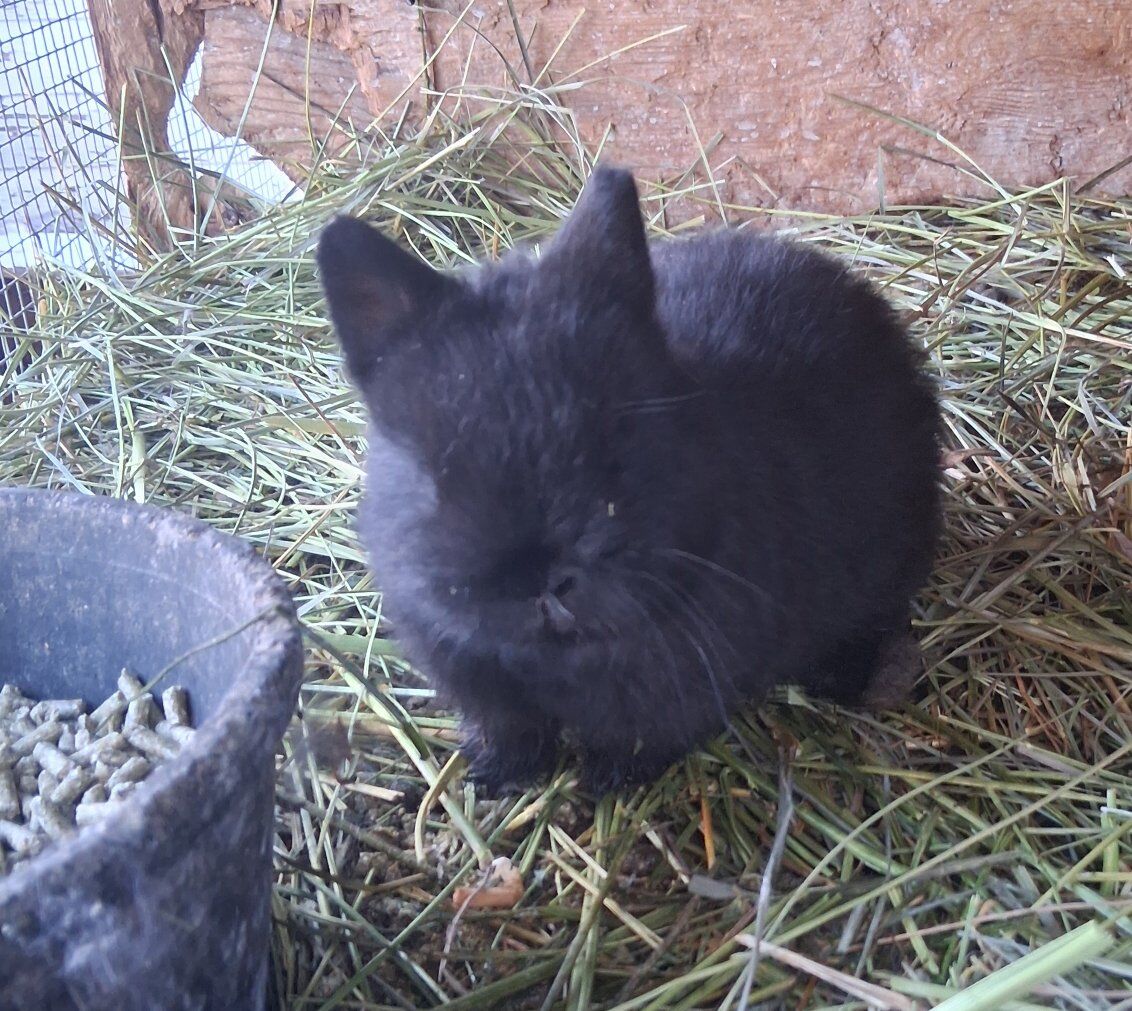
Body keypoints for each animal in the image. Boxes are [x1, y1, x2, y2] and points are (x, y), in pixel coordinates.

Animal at [317, 166, 941, 793]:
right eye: (431, 474)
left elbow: (637, 737)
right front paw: (494, 776)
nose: (540, 580)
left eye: (616, 435)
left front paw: (603, 782)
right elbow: (510, 727)